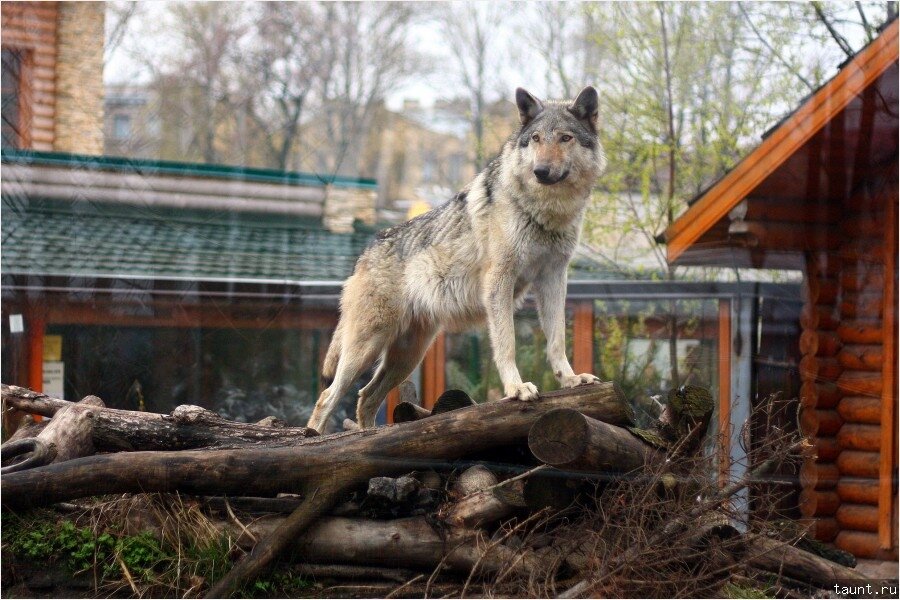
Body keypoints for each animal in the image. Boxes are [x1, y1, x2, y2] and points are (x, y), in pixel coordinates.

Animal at [306, 85, 608, 432]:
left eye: (565, 138)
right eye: (535, 139)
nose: (541, 171)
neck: (545, 212)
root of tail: (364, 254)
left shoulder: (554, 278)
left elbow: (557, 339)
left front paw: (570, 380)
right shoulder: (499, 281)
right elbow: (507, 343)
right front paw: (516, 388)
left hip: (407, 355)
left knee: (365, 397)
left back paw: (369, 437)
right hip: (366, 349)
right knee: (327, 397)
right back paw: (315, 436)